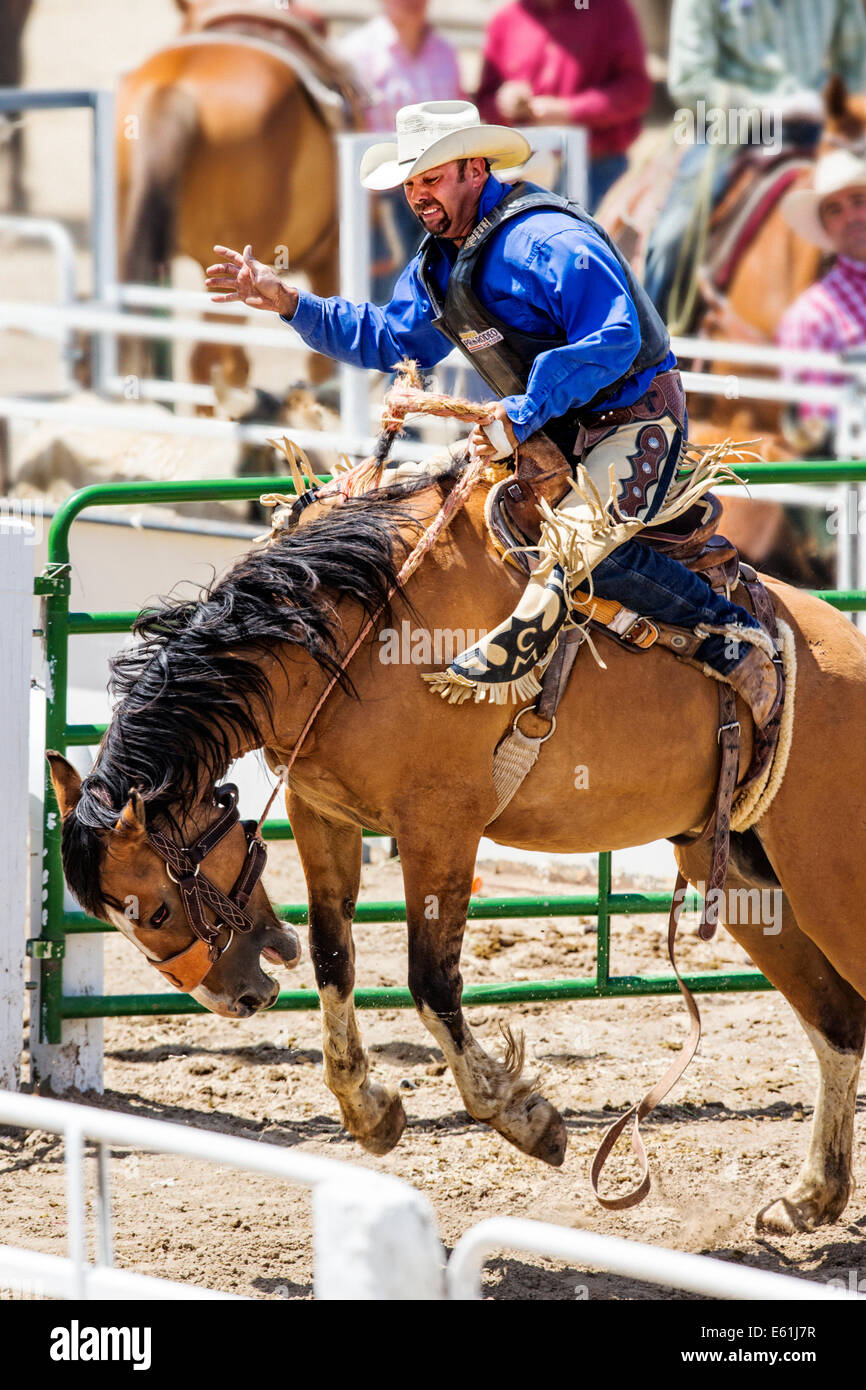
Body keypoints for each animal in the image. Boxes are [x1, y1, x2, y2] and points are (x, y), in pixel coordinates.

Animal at [47, 451, 866, 1235]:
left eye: (154, 910)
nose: (235, 999)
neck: (348, 635)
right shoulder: (322, 813)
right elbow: (336, 958)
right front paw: (371, 1112)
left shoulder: (440, 827)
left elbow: (431, 982)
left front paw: (526, 1120)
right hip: (745, 878)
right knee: (839, 1026)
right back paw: (811, 1198)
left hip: (829, 884)